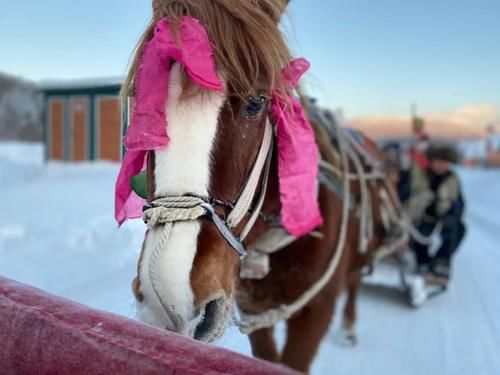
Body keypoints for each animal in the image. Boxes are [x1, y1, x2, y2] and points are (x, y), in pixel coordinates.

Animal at [121, 0, 406, 374]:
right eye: (141, 101)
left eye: (256, 103)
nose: (169, 298)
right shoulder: (255, 307)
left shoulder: (315, 311)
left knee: (356, 282)